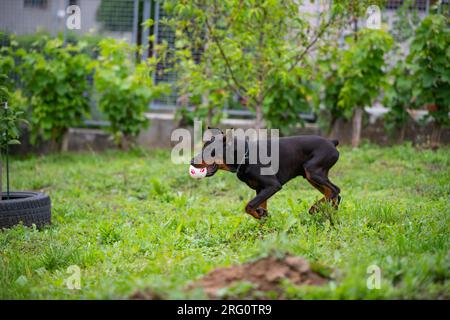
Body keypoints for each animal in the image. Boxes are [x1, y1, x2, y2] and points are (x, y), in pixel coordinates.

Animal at [190, 129, 342, 219]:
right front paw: (263, 219)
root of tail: (332, 142)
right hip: (310, 175)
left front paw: (260, 214)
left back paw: (317, 208)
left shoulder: (272, 185)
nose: (191, 161)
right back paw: (325, 211)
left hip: (312, 170)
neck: (245, 155)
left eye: (210, 151)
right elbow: (260, 207)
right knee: (333, 193)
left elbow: (249, 206)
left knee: (335, 190)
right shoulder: (260, 189)